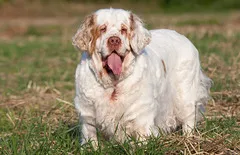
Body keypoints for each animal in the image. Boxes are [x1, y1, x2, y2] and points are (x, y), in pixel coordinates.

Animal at [72, 7, 211, 145]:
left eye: (124, 29)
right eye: (102, 29)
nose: (114, 40)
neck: (114, 83)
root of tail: (183, 37)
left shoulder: (141, 112)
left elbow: (142, 138)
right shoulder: (87, 114)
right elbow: (90, 138)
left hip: (185, 95)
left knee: (189, 118)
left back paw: (189, 139)